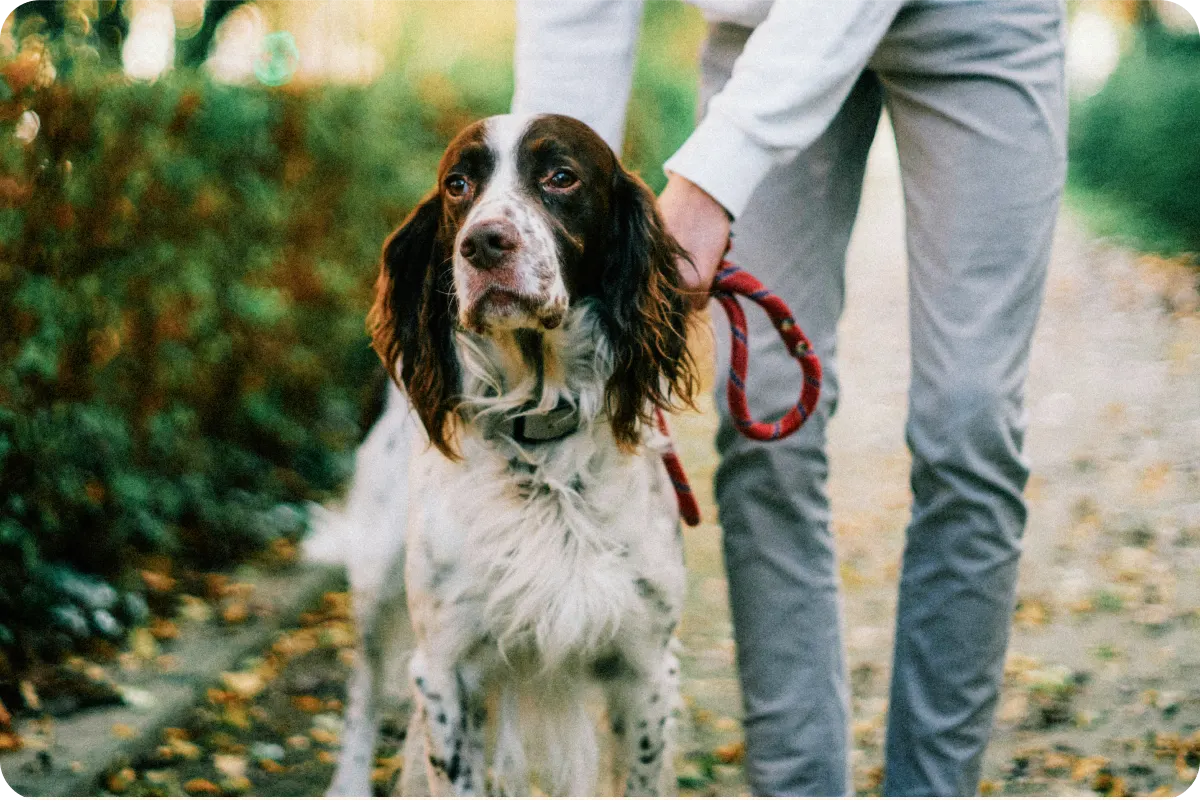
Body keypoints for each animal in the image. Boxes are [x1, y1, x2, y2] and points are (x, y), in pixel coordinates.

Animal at [324, 112, 700, 796]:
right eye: (457, 184)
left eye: (561, 177)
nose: (483, 244)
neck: (540, 433)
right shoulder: (445, 669)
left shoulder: (646, 668)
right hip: (376, 569)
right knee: (364, 687)